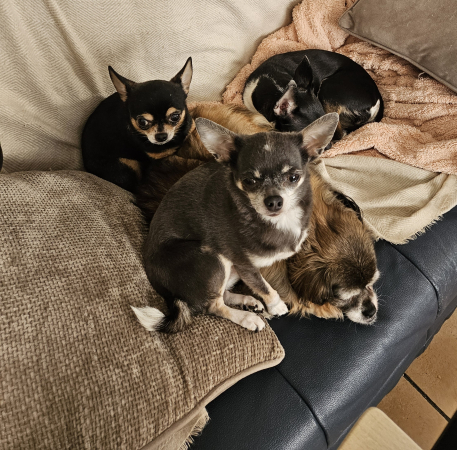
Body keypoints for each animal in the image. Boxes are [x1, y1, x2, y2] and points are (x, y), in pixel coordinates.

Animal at [131, 113, 339, 333]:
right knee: (212, 305)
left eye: (293, 177)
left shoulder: (244, 267)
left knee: (219, 294)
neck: (279, 221)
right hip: (212, 256)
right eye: (249, 181)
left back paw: (248, 302)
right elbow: (264, 286)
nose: (274, 201)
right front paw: (276, 305)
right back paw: (248, 318)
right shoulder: (244, 263)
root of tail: (166, 293)